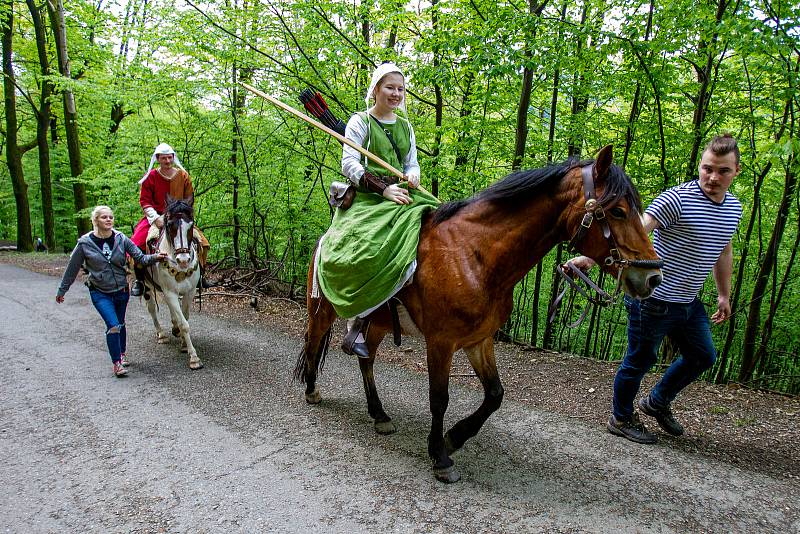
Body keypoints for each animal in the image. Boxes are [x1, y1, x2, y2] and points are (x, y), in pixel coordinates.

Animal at [294, 147, 664, 486]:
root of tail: (323, 239)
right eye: (618, 211)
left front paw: (453, 438)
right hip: (322, 309)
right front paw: (439, 456)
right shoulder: (441, 342)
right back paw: (312, 388)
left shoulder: (479, 340)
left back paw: (379, 413)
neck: (475, 255)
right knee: (313, 341)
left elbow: (495, 394)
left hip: (380, 323)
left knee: (366, 358)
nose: (652, 277)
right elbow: (439, 398)